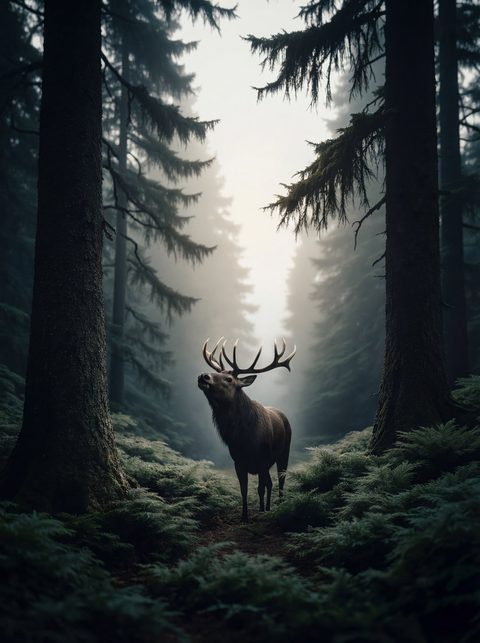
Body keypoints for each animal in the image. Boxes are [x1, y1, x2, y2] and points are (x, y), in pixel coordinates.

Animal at [197, 337, 296, 524]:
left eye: (229, 379)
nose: (203, 375)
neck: (244, 439)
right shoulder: (238, 461)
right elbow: (244, 490)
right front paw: (245, 517)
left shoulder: (263, 459)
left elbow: (260, 488)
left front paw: (262, 512)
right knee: (271, 483)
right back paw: (268, 508)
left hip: (284, 451)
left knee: (280, 480)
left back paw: (278, 506)